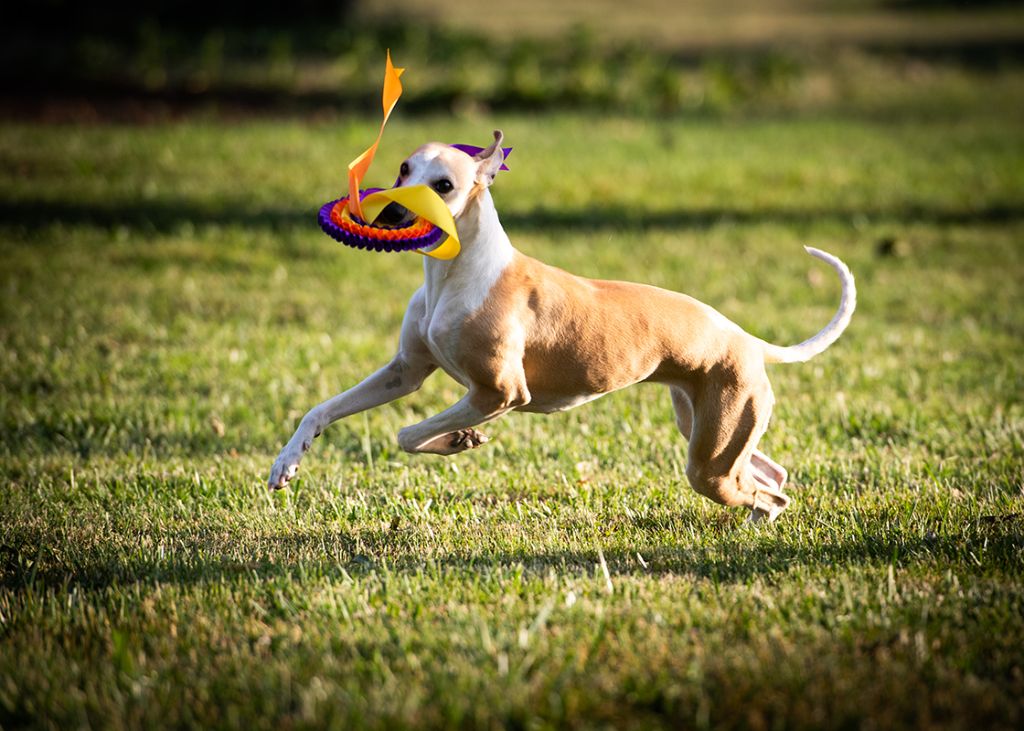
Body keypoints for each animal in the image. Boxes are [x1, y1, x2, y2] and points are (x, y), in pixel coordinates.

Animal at [268, 129, 851, 518]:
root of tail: (745, 337)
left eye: (445, 184)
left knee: (766, 489)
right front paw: (286, 464)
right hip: (706, 427)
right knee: (768, 473)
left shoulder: (501, 391)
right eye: (403, 169)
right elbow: (322, 410)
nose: (389, 215)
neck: (456, 274)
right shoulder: (405, 372)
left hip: (709, 453)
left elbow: (408, 433)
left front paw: (456, 440)